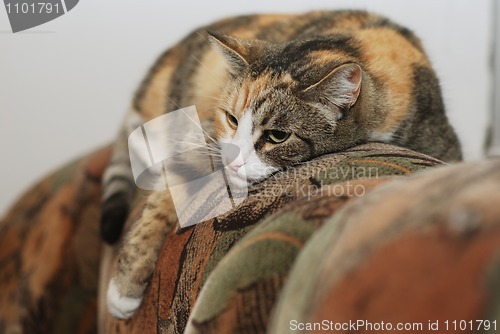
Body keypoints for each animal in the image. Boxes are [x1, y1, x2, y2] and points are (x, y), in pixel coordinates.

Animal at [103, 9, 462, 318]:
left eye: (277, 136)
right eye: (231, 118)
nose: (232, 162)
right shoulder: (206, 135)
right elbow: (165, 194)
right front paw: (124, 289)